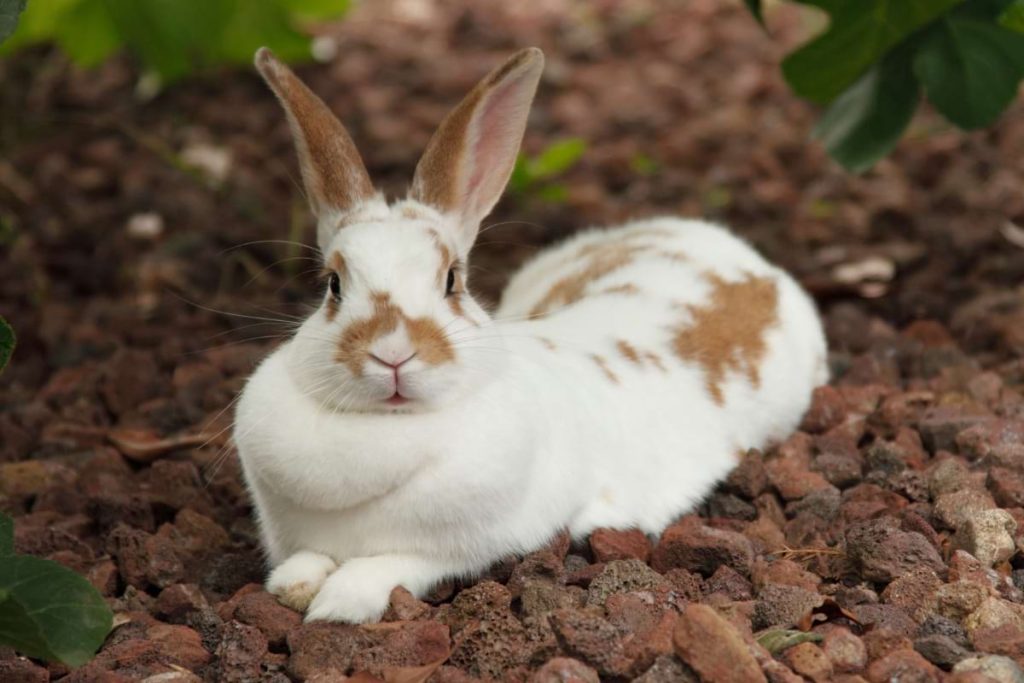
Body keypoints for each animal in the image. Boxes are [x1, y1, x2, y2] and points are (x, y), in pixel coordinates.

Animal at [234, 46, 829, 624]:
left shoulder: (460, 548)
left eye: (451, 280)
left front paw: (337, 605)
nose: (393, 354)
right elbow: (304, 561)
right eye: (333, 285)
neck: (383, 431)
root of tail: (729, 250)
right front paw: (293, 586)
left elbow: (390, 565)